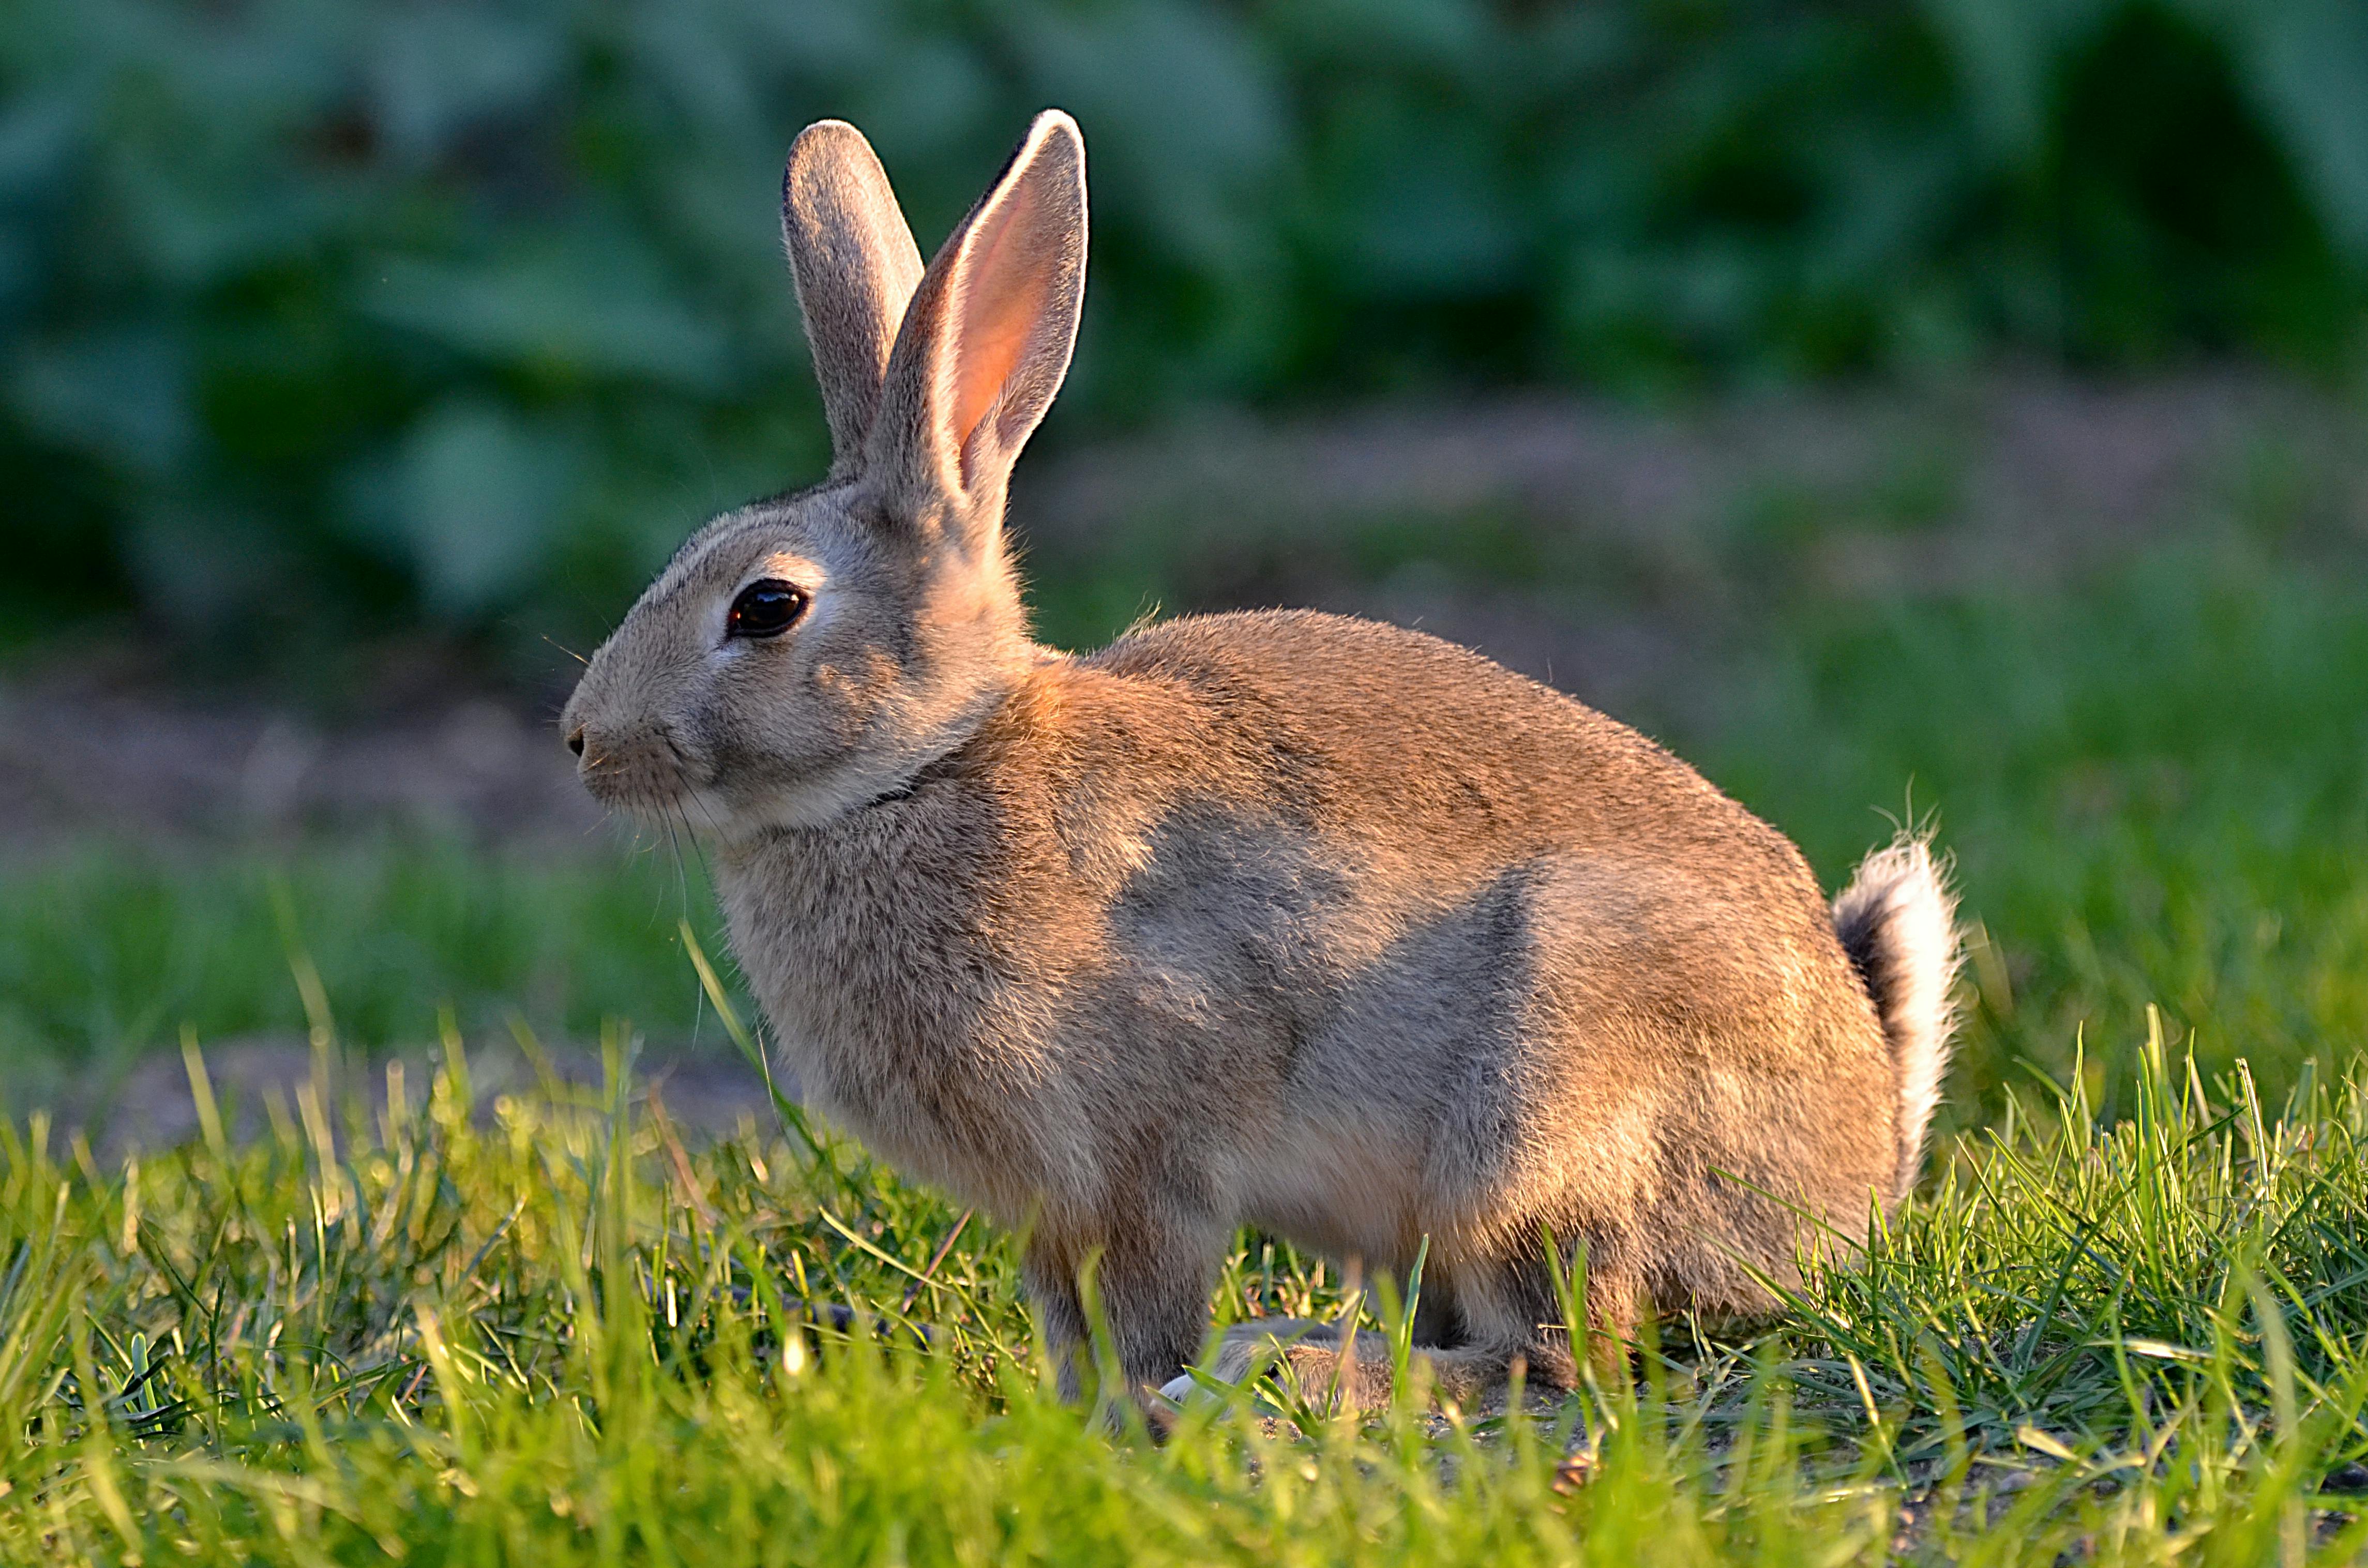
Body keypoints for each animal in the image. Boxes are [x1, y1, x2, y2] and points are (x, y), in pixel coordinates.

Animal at [559, 110, 1962, 1412]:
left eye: (767, 607)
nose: (581, 739)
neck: (927, 766)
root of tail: (1863, 1156)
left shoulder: (1146, 1155)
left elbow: (1147, 1302)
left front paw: (1142, 1406)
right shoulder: (1052, 1210)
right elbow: (1066, 1318)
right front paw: (1069, 1414)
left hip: (1544, 1102)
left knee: (1559, 1353)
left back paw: (1292, 1371)